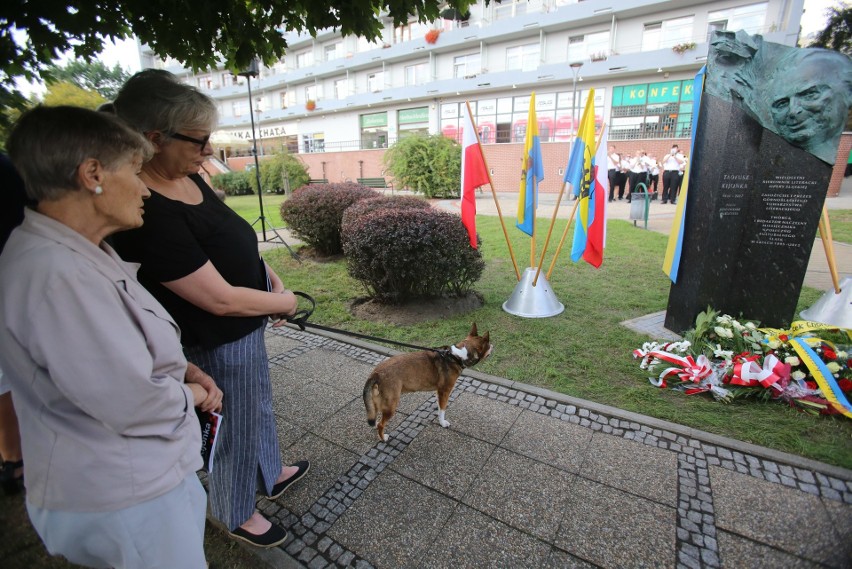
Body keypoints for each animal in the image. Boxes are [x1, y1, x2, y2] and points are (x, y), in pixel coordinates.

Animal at [362, 324, 492, 440]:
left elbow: (439, 406)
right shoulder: (445, 391)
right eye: (488, 344)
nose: (493, 345)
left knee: (375, 416)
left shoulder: (438, 392)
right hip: (391, 405)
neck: (456, 356)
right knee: (381, 425)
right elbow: (443, 410)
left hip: (378, 401)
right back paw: (383, 438)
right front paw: (443, 423)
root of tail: (376, 373)